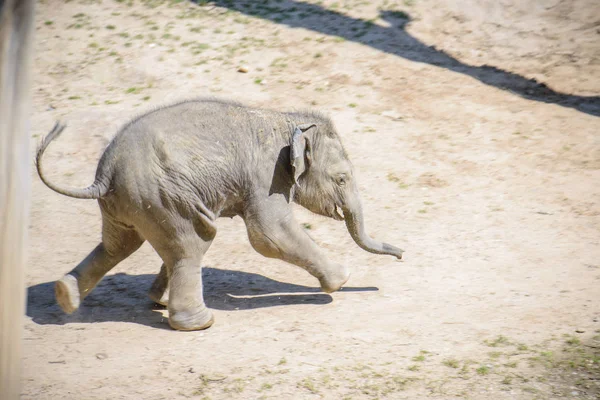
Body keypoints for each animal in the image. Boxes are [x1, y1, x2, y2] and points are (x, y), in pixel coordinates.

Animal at [36, 98, 404, 330]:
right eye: (341, 179)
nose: (402, 254)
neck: (288, 119)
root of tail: (104, 176)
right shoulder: (267, 175)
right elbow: (269, 234)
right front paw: (342, 280)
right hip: (163, 196)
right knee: (192, 244)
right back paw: (198, 323)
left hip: (134, 202)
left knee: (120, 245)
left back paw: (68, 295)